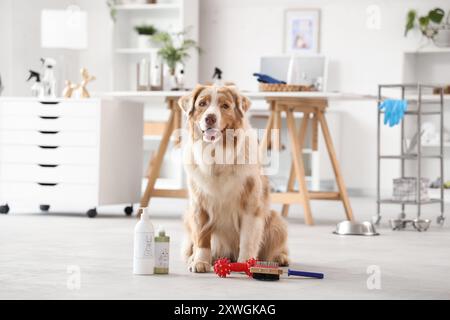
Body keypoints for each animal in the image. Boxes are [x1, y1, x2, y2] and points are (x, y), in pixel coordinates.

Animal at [177, 84, 288, 272]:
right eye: (202, 104)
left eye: (225, 106)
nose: (210, 118)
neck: (217, 155)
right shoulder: (199, 205)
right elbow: (202, 238)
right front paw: (200, 262)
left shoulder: (251, 206)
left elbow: (248, 240)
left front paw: (245, 264)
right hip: (187, 216)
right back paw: (193, 257)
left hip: (276, 221)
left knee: (275, 248)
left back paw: (280, 257)